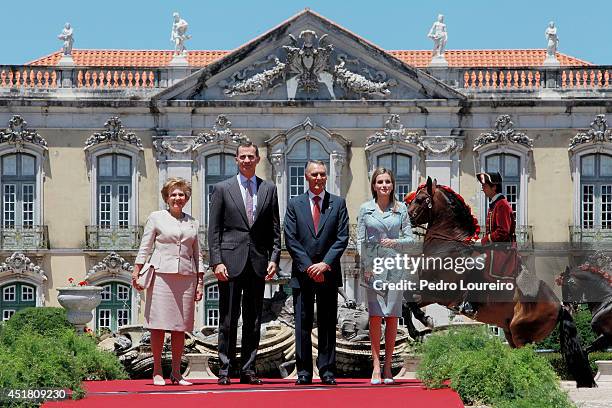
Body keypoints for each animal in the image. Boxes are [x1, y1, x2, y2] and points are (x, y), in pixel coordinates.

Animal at [404, 177, 596, 388]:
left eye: (420, 199)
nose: (406, 219)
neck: (448, 245)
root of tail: (559, 306)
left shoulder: (440, 292)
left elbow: (408, 299)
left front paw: (425, 321)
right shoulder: (428, 291)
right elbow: (406, 301)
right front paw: (417, 330)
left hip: (521, 333)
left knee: (532, 362)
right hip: (511, 334)